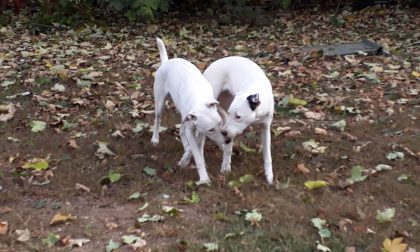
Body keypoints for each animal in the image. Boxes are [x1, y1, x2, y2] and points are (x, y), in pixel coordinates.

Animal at [151, 37, 231, 183]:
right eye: (211, 129)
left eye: (220, 122)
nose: (228, 140)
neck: (198, 99)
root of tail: (167, 62)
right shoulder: (193, 128)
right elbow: (197, 154)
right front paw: (204, 178)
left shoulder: (198, 129)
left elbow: (197, 147)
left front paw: (188, 157)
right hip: (160, 103)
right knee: (157, 119)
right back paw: (155, 138)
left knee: (181, 130)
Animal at [203, 56, 276, 184]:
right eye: (232, 114)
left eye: (238, 116)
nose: (224, 132)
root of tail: (210, 65)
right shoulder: (229, 129)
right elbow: (227, 148)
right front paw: (226, 166)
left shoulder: (265, 128)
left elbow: (267, 155)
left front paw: (269, 174)